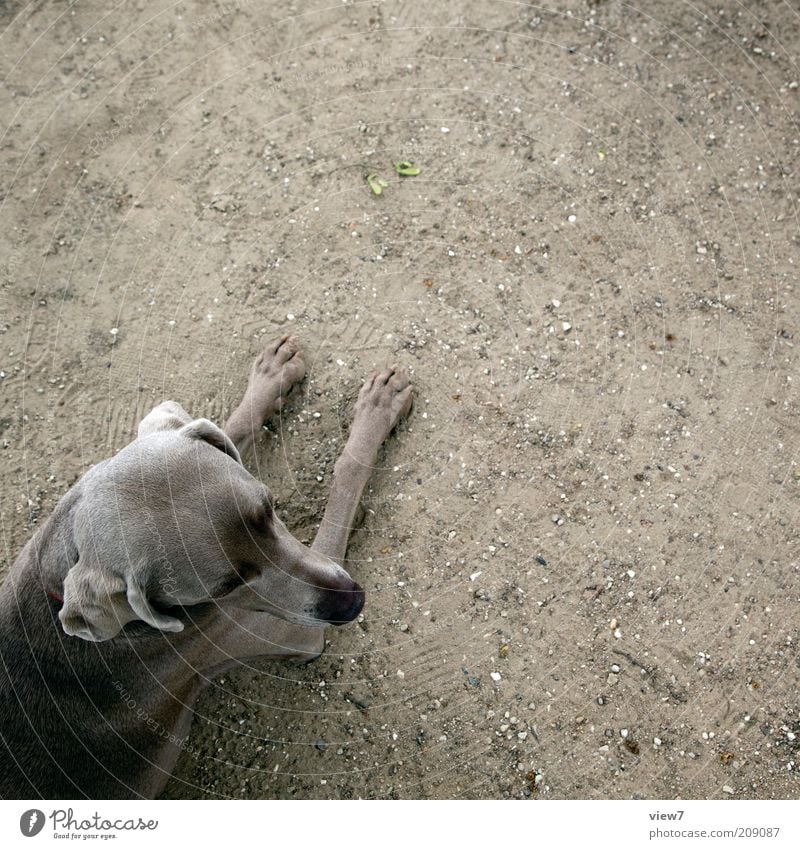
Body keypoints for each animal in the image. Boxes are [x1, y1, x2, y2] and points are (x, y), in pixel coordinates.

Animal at [0, 336, 412, 796]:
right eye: (225, 587)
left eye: (269, 509)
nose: (352, 602)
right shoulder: (292, 630)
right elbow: (343, 487)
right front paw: (377, 413)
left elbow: (232, 427)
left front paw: (274, 376)